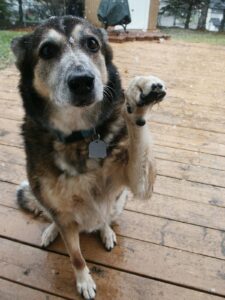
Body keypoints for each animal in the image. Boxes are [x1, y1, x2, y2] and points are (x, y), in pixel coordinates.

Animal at [11, 15, 166, 300]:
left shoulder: (137, 182)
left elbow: (137, 138)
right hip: (49, 204)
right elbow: (76, 257)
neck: (79, 136)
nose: (82, 81)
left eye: (92, 44)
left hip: (119, 202)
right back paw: (51, 231)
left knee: (105, 218)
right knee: (54, 218)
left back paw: (106, 232)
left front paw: (138, 99)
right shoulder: (62, 214)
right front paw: (84, 280)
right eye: (47, 50)